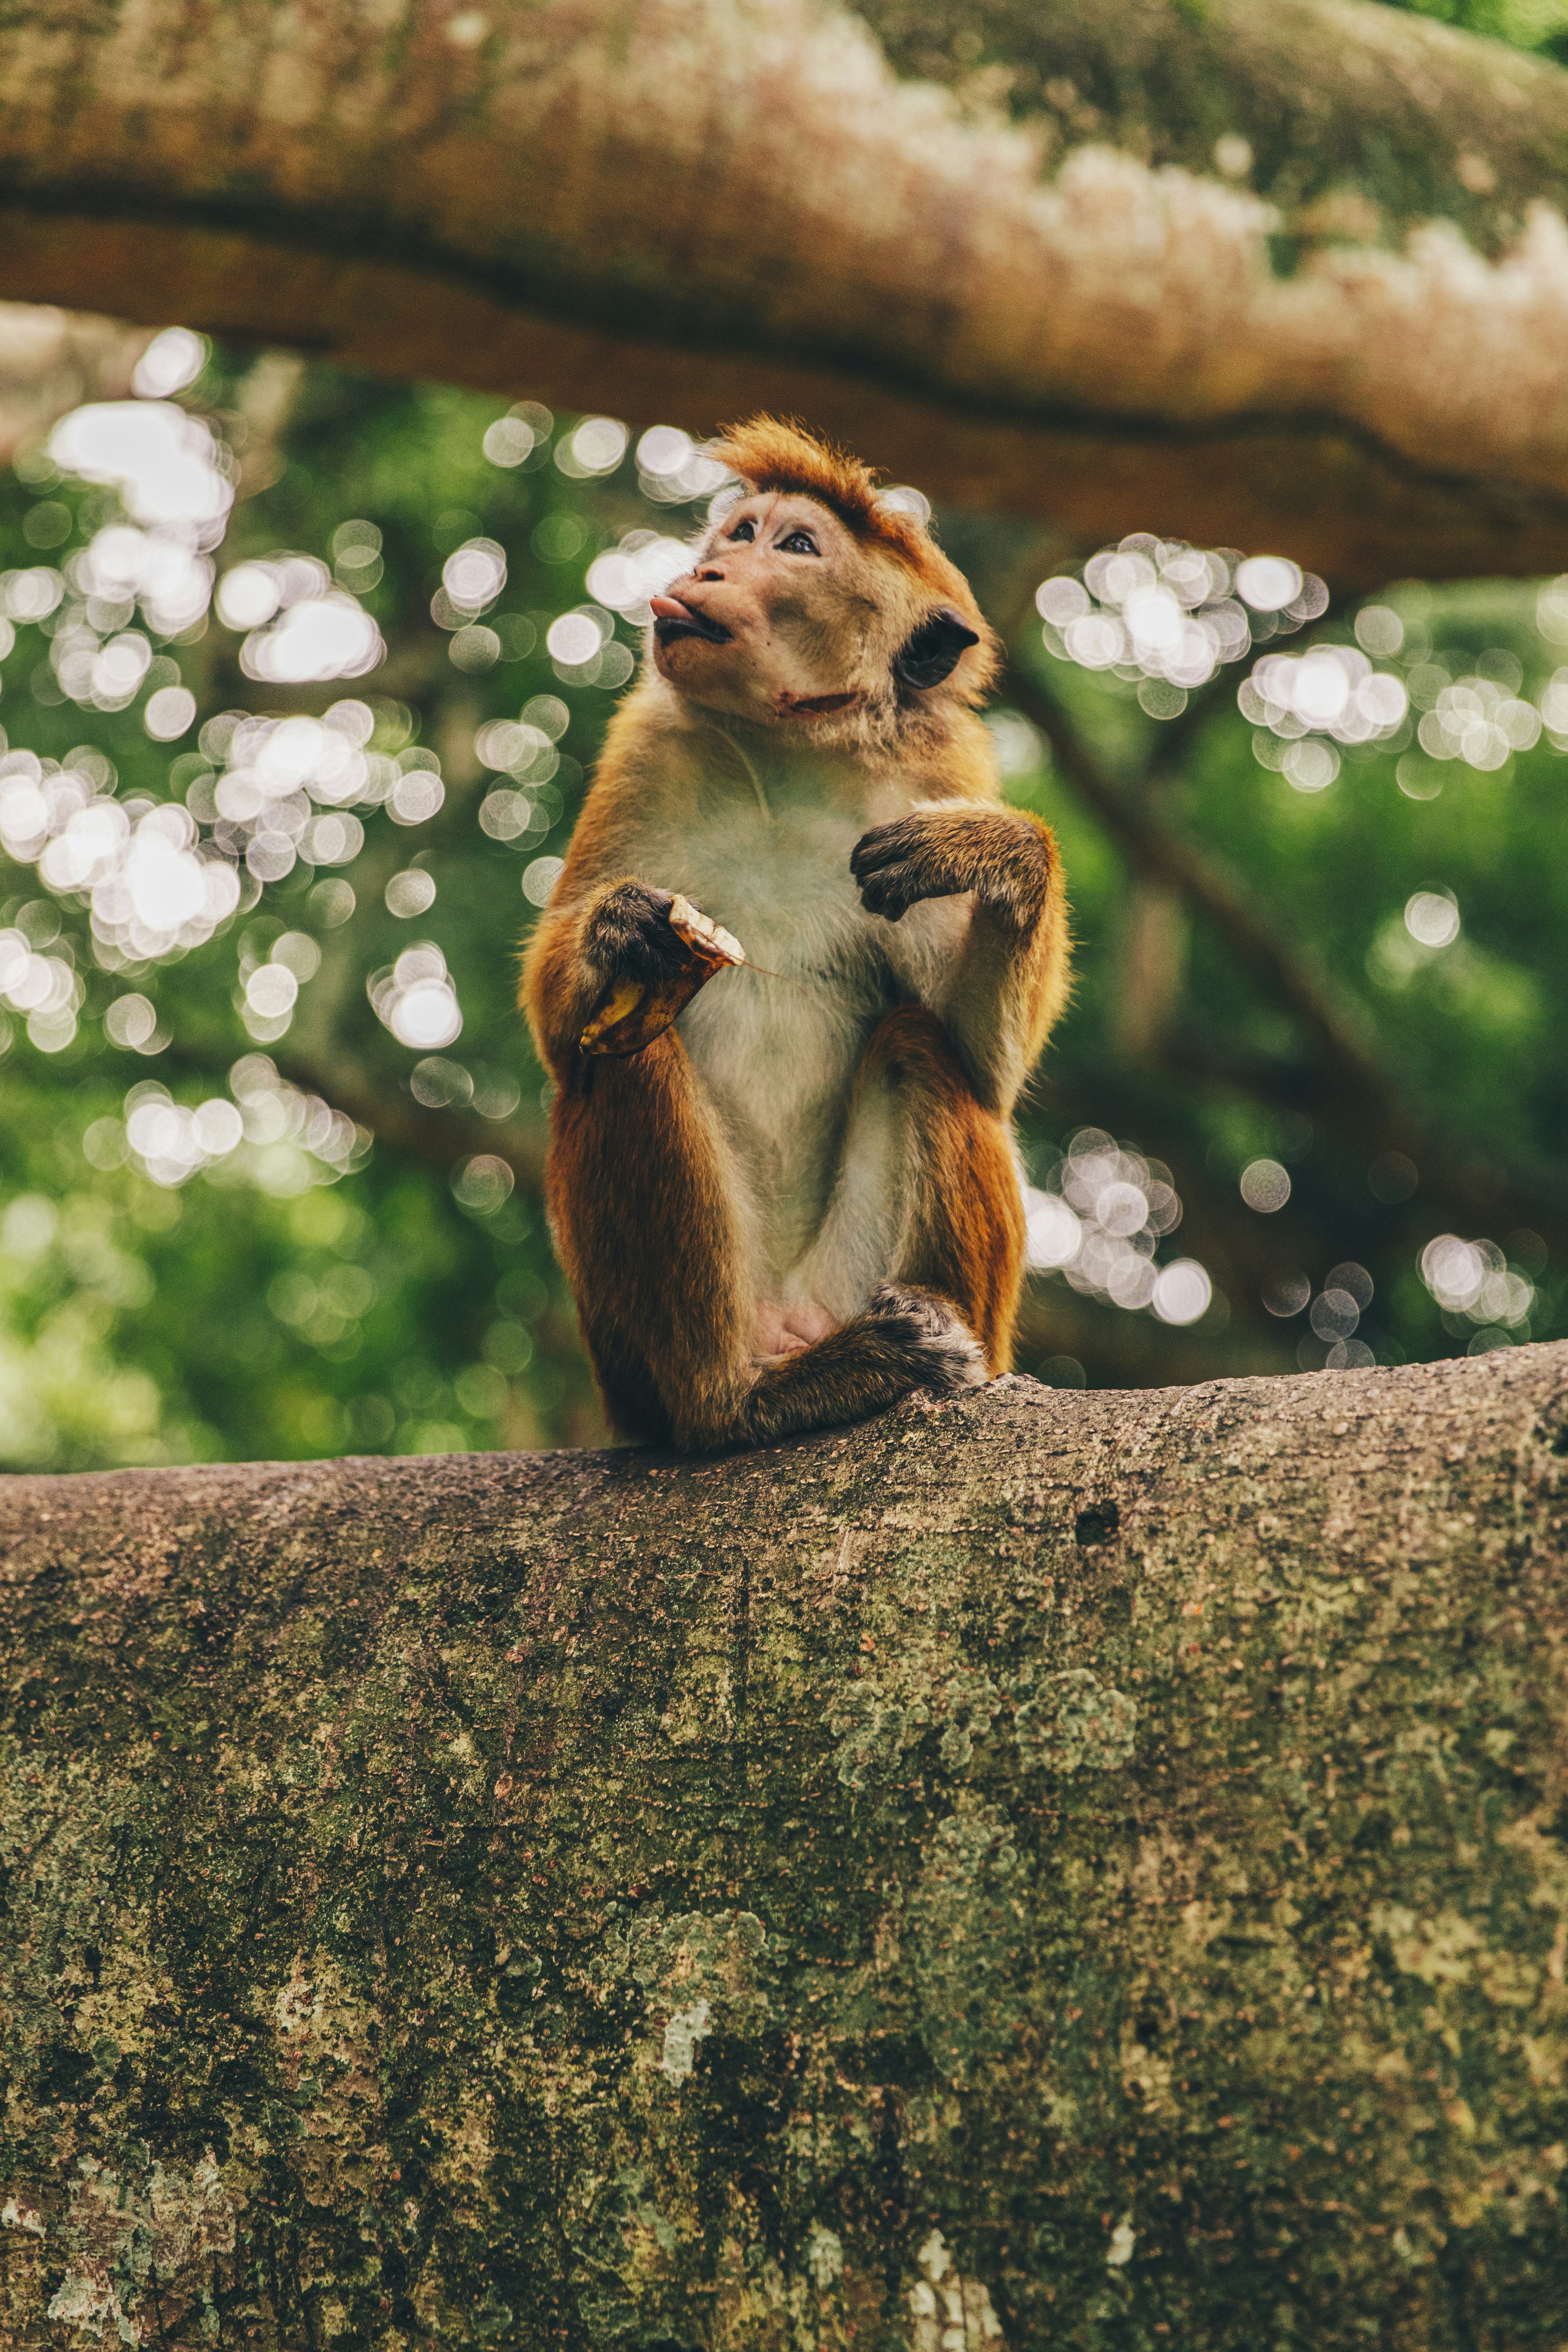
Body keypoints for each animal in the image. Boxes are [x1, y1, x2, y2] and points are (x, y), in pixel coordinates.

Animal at [522, 423, 1072, 1449]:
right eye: (739, 531)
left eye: (795, 546)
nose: (709, 567)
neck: (788, 750)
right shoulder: (642, 747)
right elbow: (558, 1028)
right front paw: (617, 927)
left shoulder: (941, 771)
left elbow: (987, 1064)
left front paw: (1000, 854)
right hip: (652, 1354)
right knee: (624, 1049)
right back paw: (733, 1403)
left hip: (850, 1284)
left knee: (921, 1044)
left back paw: (922, 1348)